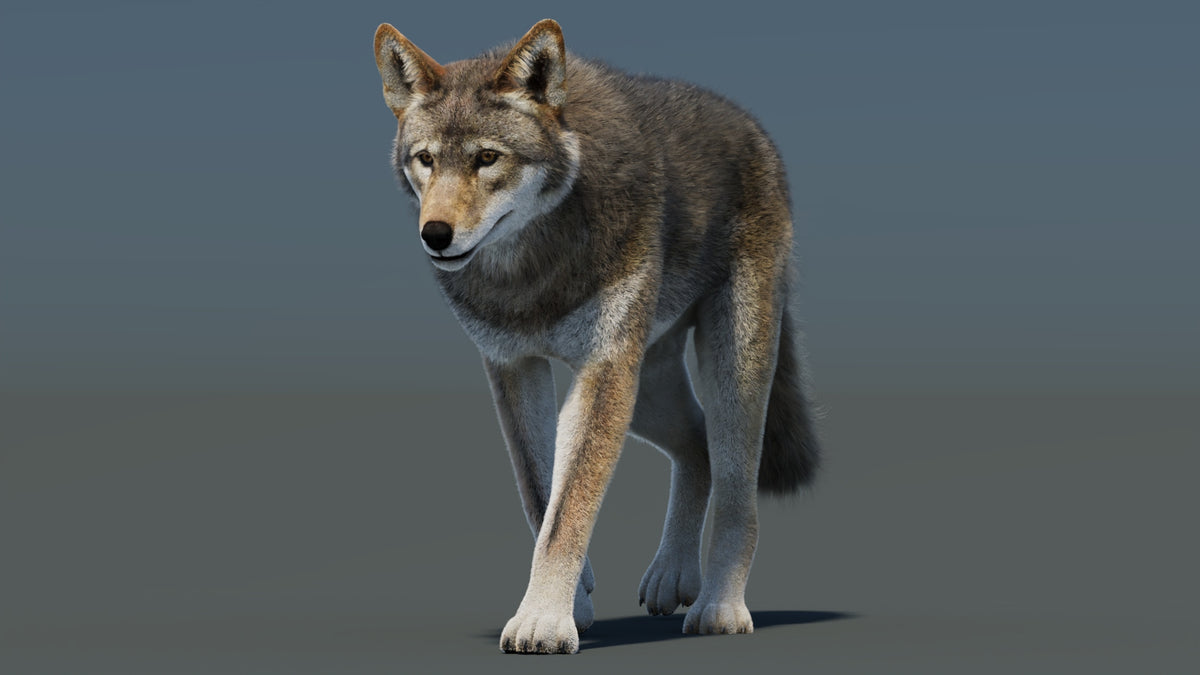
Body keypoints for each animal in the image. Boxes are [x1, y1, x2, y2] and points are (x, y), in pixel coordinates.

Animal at [373, 19, 820, 653]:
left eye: (487, 158)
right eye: (426, 159)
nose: (436, 234)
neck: (531, 273)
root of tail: (755, 131)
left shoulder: (603, 370)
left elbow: (568, 510)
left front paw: (542, 621)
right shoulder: (512, 367)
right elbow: (541, 497)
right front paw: (575, 604)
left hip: (723, 370)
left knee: (738, 491)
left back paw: (719, 607)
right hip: (647, 388)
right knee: (696, 444)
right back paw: (671, 574)